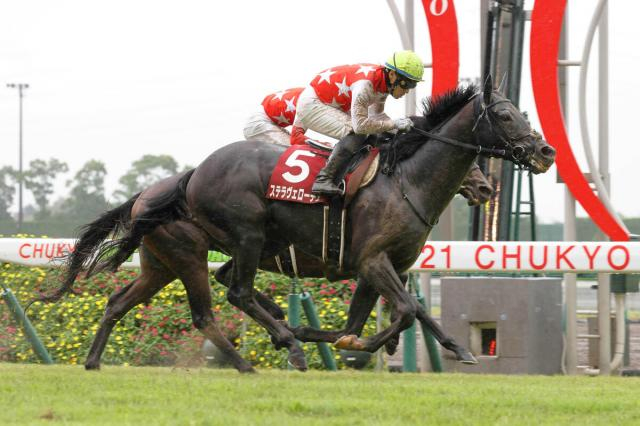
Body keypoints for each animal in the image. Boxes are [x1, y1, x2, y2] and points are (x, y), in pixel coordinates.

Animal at [47, 78, 556, 372]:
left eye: (524, 112)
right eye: (506, 114)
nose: (545, 151)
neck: (405, 178)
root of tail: (189, 176)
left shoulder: (390, 265)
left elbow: (408, 312)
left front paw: (457, 347)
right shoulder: (371, 261)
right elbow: (404, 312)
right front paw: (338, 341)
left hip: (165, 262)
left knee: (122, 302)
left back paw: (93, 362)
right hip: (233, 240)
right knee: (227, 299)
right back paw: (277, 347)